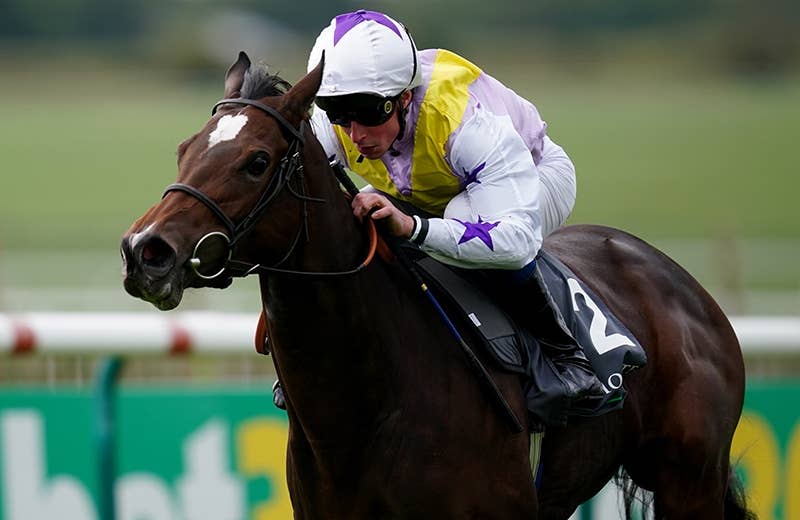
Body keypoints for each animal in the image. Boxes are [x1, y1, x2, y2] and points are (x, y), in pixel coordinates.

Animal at [121, 51, 754, 519]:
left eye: (255, 161)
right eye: (184, 150)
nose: (145, 251)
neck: (366, 405)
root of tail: (683, 286)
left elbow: (502, 235)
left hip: (690, 481)